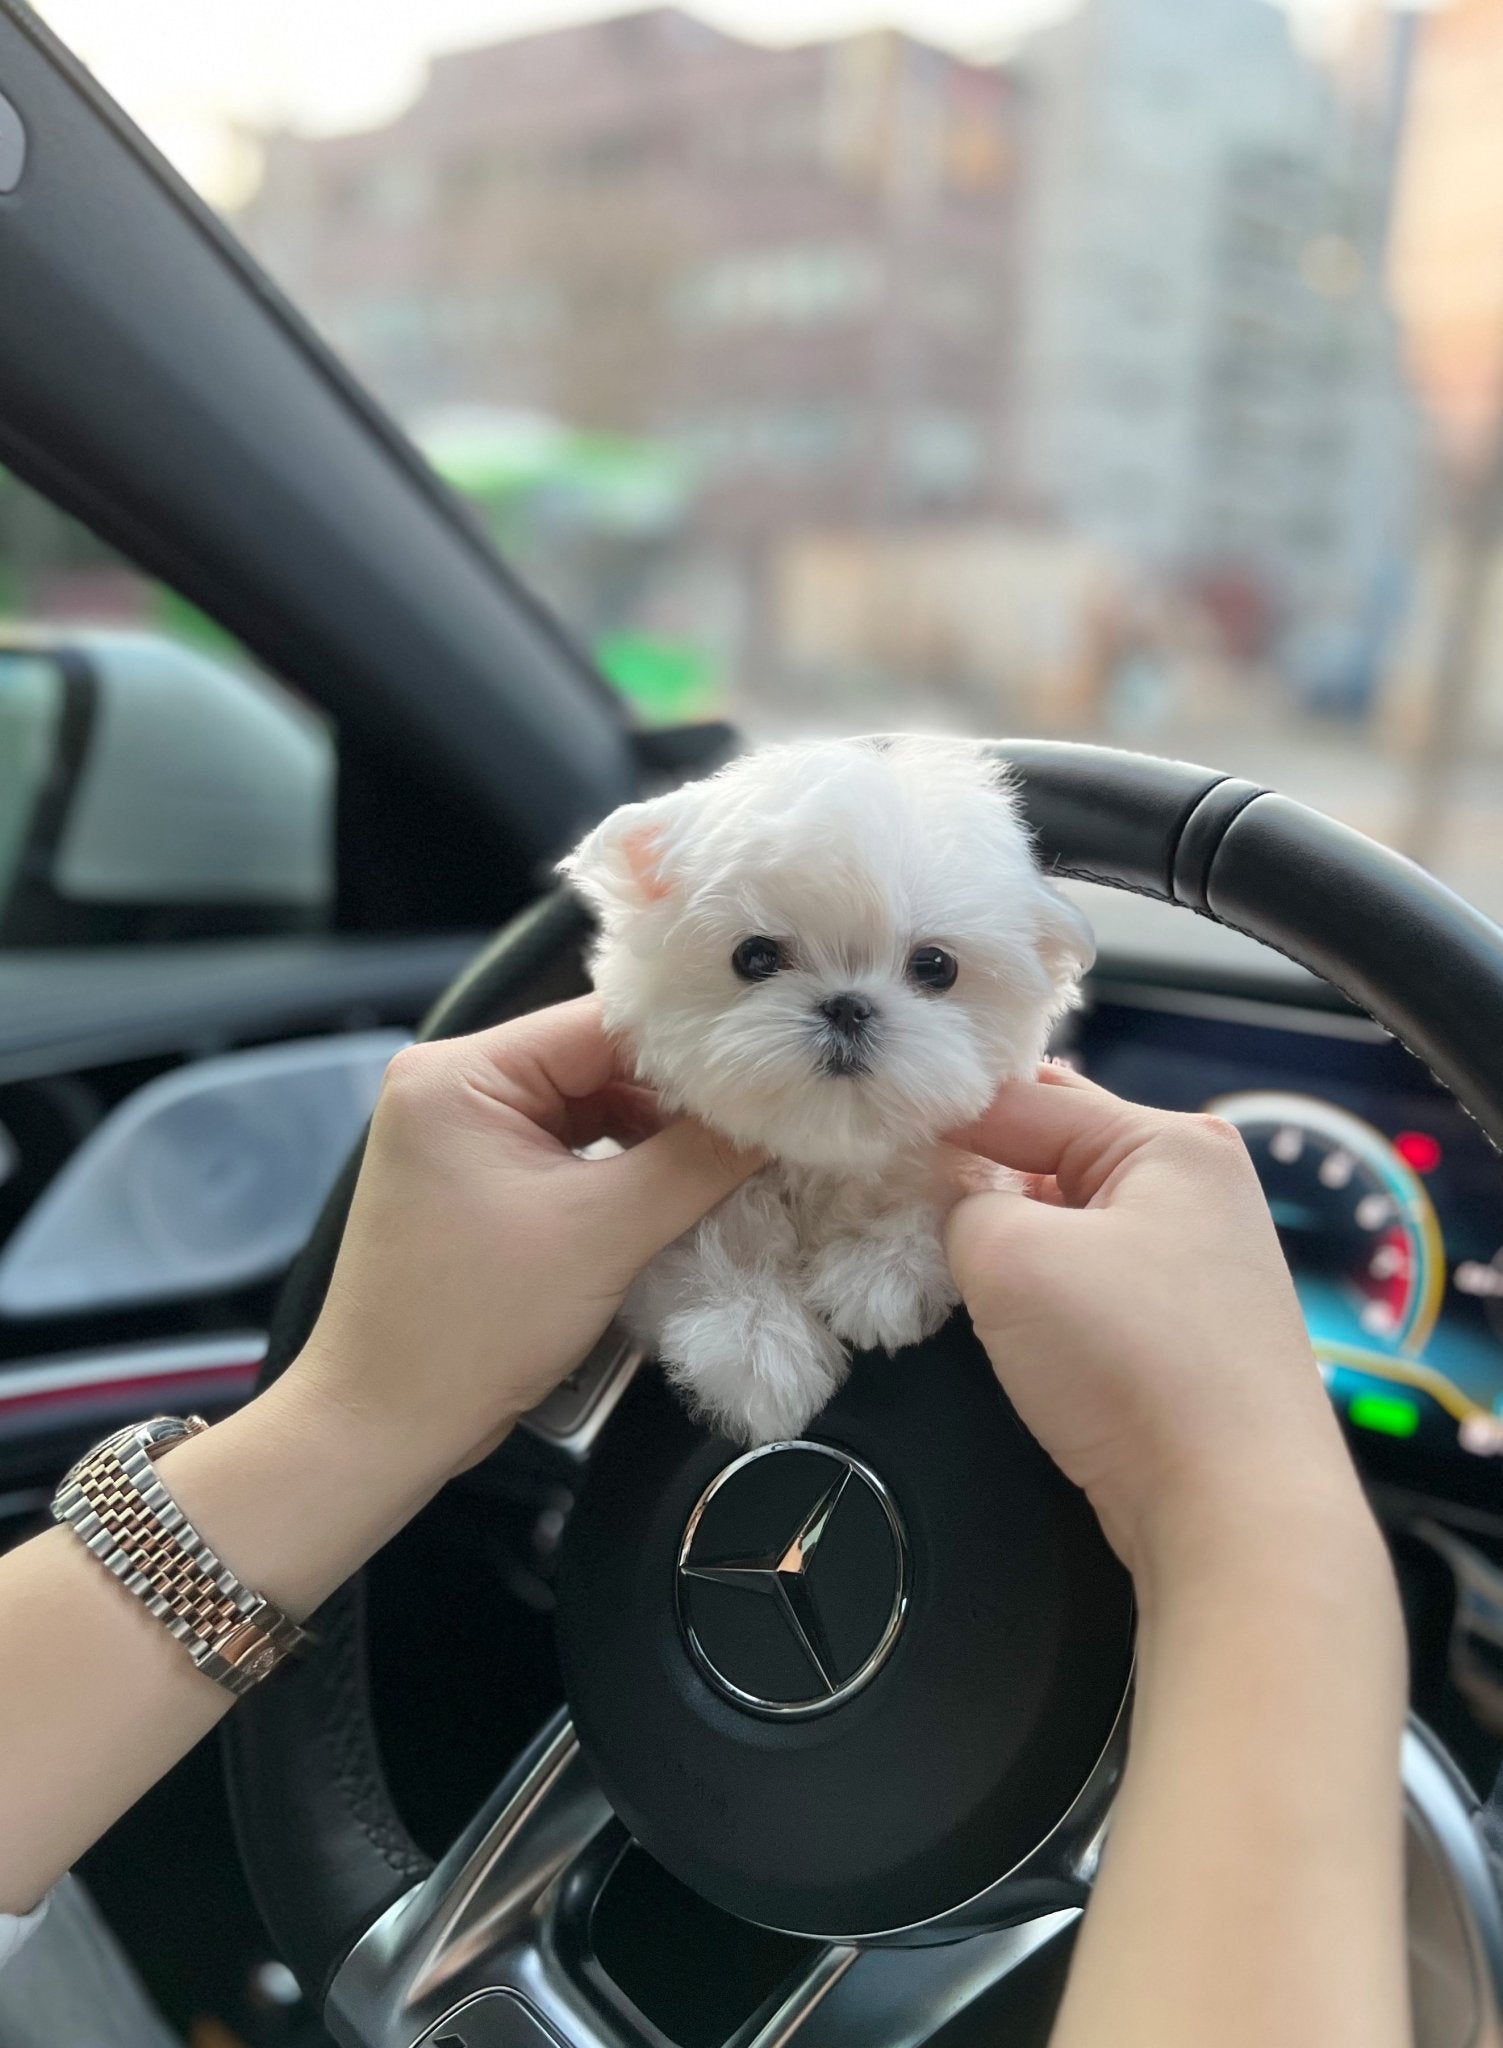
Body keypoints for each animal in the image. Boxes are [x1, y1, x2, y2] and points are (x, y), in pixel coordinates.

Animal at [561, 737, 1097, 1441]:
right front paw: (761, 1349)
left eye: (936, 966)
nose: (847, 1005)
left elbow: (937, 1191)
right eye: (755, 956)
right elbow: (694, 1254)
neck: (828, 1147)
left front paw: (879, 1272)